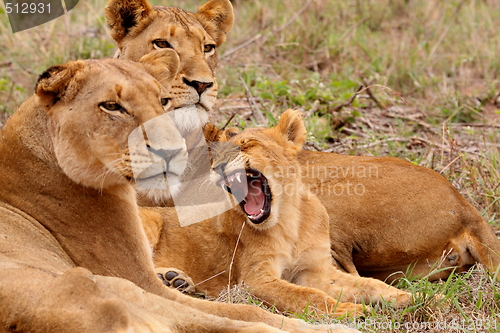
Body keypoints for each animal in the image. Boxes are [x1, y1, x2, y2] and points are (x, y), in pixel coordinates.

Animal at [0, 55, 358, 332]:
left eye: (163, 101)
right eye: (111, 106)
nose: (172, 149)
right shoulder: (142, 280)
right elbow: (254, 307)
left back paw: (176, 277)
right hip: (115, 283)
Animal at [139, 109, 412, 314]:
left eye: (247, 145)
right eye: (214, 158)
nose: (217, 167)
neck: (289, 220)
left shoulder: (316, 272)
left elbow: (367, 283)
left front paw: (403, 296)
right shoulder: (254, 280)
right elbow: (306, 295)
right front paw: (348, 310)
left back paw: (175, 280)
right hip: (149, 221)